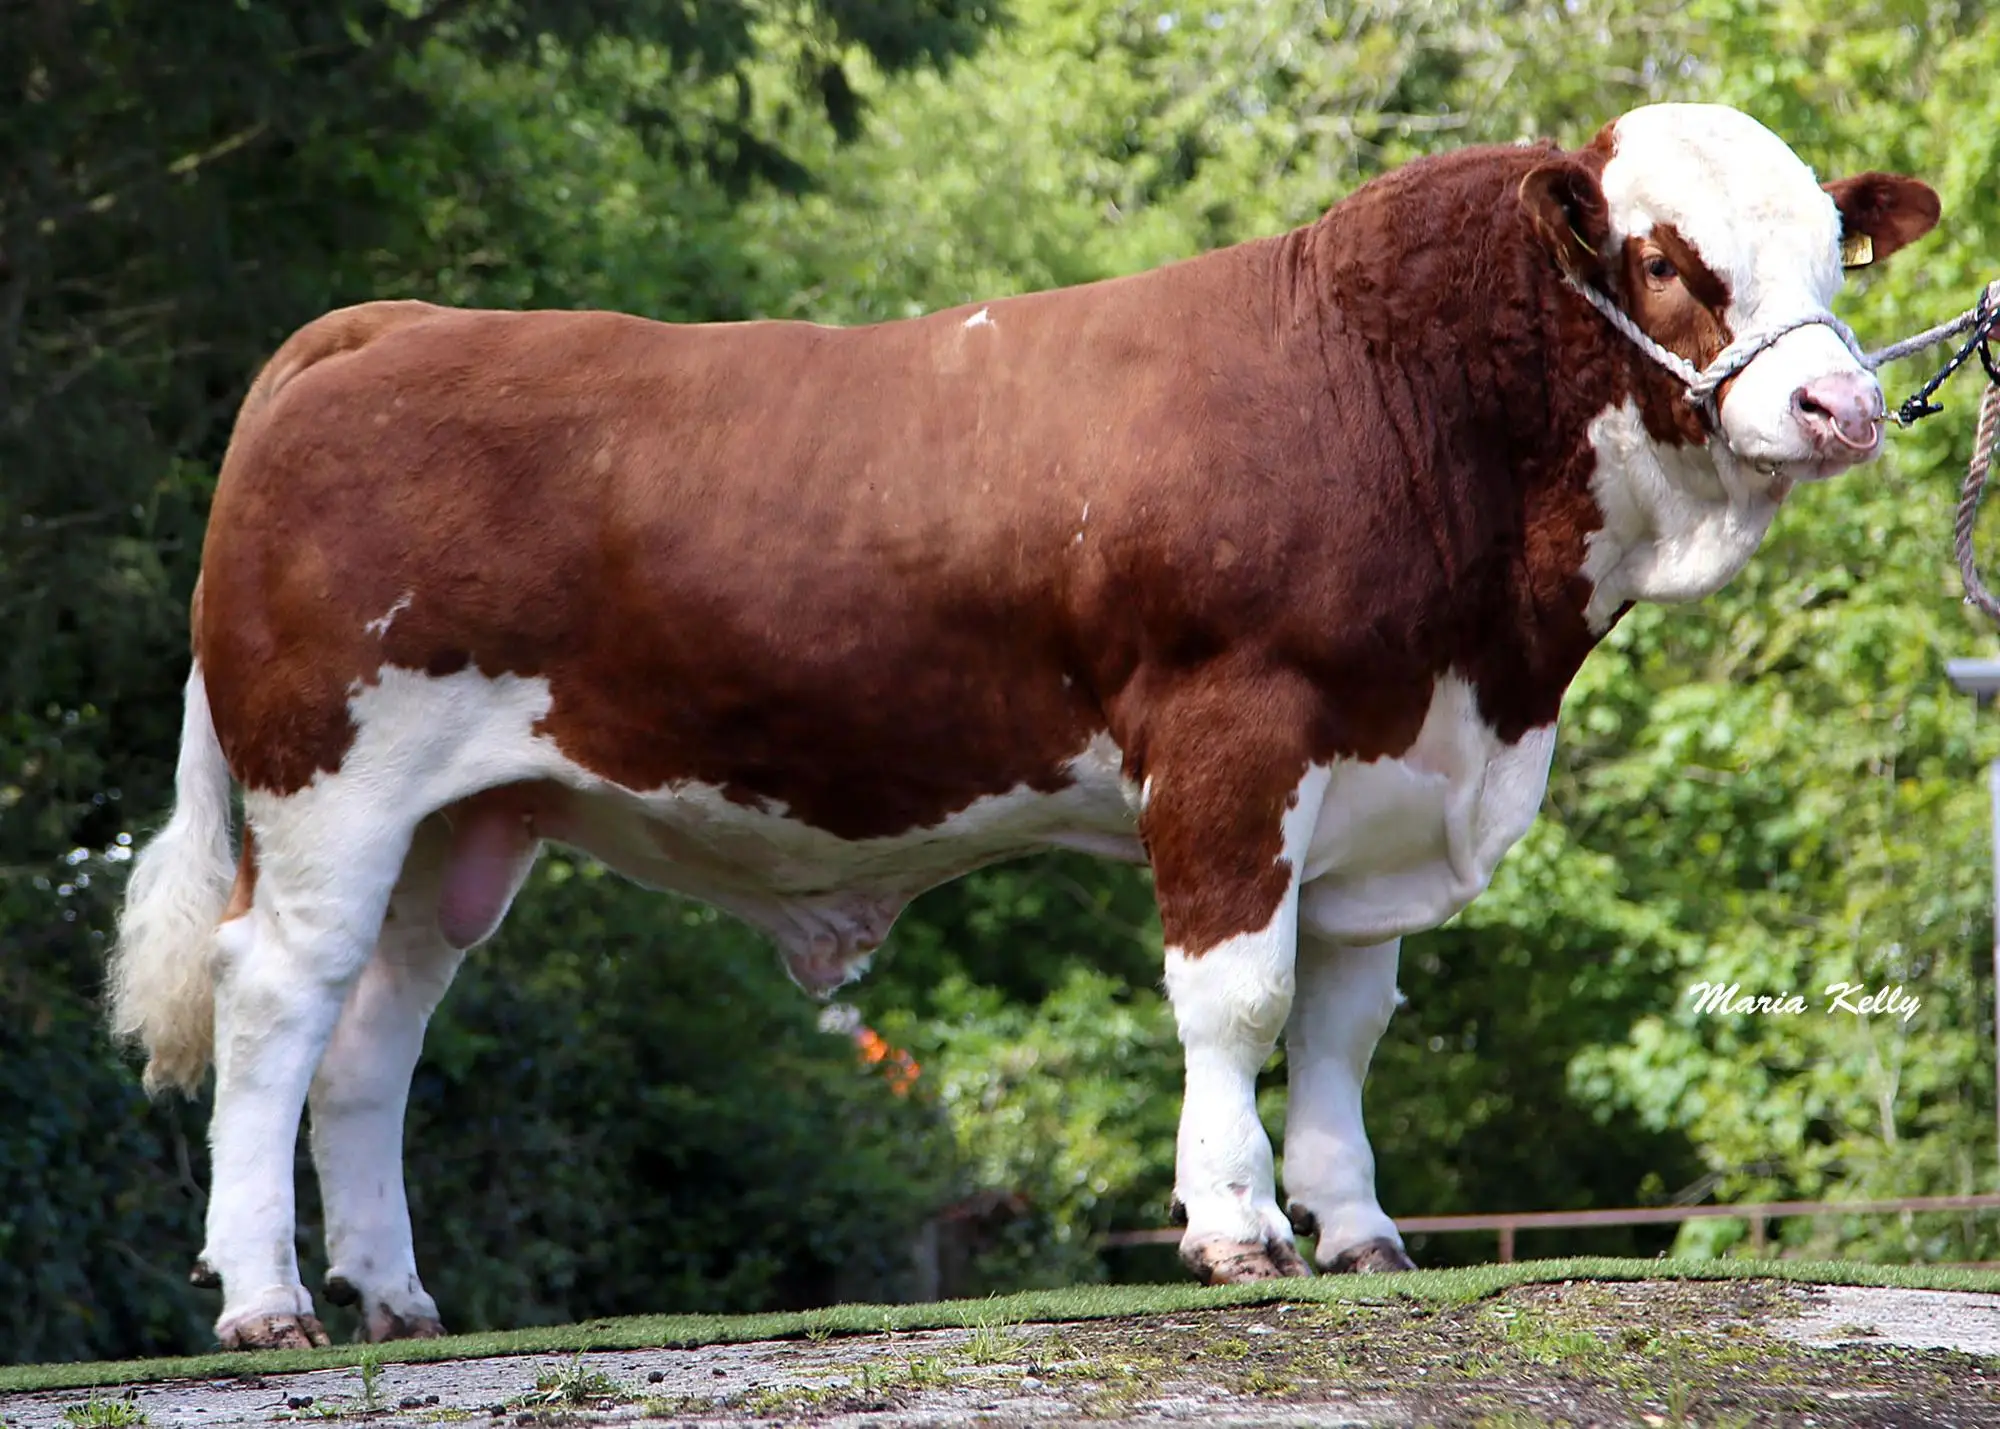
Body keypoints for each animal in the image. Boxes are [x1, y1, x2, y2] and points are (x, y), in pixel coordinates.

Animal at [109, 102, 1939, 1349]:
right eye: (1668, 261)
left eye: (1835, 251)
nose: (1840, 405)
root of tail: (384, 328)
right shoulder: (1231, 731)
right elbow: (1238, 995)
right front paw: (1238, 1229)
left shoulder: (1392, 782)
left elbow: (1346, 1021)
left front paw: (1358, 1229)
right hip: (333, 778)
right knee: (275, 998)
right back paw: (267, 1300)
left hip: (456, 825)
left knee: (374, 1033)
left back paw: (396, 1295)